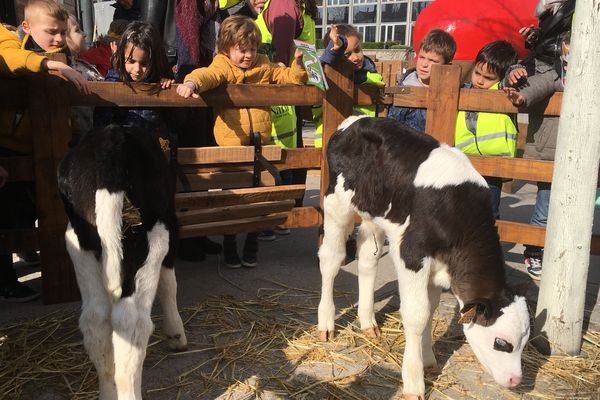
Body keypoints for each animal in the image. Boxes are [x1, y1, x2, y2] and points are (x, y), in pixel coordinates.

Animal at [58, 125, 188, 400]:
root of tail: (110, 141)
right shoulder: (171, 225)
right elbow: (169, 284)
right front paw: (176, 335)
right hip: (150, 238)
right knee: (132, 323)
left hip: (79, 242)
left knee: (95, 319)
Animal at [318, 116, 528, 400]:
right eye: (502, 343)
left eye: (524, 342)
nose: (515, 380)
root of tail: (355, 120)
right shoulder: (412, 254)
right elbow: (417, 315)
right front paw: (414, 381)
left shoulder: (437, 266)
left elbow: (431, 309)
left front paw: (428, 361)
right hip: (337, 202)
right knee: (331, 258)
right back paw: (326, 323)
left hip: (376, 213)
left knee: (368, 257)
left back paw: (368, 322)